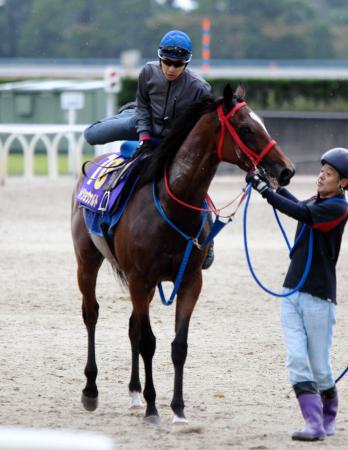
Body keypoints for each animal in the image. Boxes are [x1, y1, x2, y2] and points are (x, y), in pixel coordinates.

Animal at [72, 84, 294, 426]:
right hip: (87, 262)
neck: (171, 203)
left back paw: (134, 393)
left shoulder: (190, 281)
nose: (286, 170)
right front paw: (153, 407)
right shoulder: (139, 279)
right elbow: (149, 342)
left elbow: (179, 345)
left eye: (263, 125)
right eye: (246, 128)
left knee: (132, 326)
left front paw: (177, 409)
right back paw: (91, 389)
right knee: (92, 314)